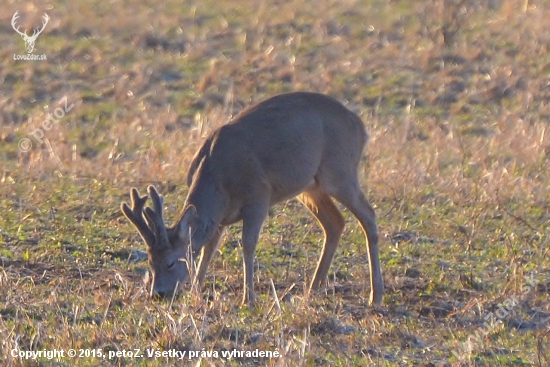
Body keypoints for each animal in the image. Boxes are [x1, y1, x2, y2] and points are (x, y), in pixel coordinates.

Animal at [122, 92, 386, 308]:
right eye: (150, 262)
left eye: (169, 262)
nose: (158, 294)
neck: (218, 178)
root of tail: (361, 127)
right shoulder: (220, 216)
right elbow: (208, 249)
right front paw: (196, 291)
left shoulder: (259, 196)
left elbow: (247, 244)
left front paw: (248, 299)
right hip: (310, 187)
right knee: (335, 222)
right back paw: (313, 289)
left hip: (340, 172)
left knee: (369, 216)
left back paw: (376, 295)